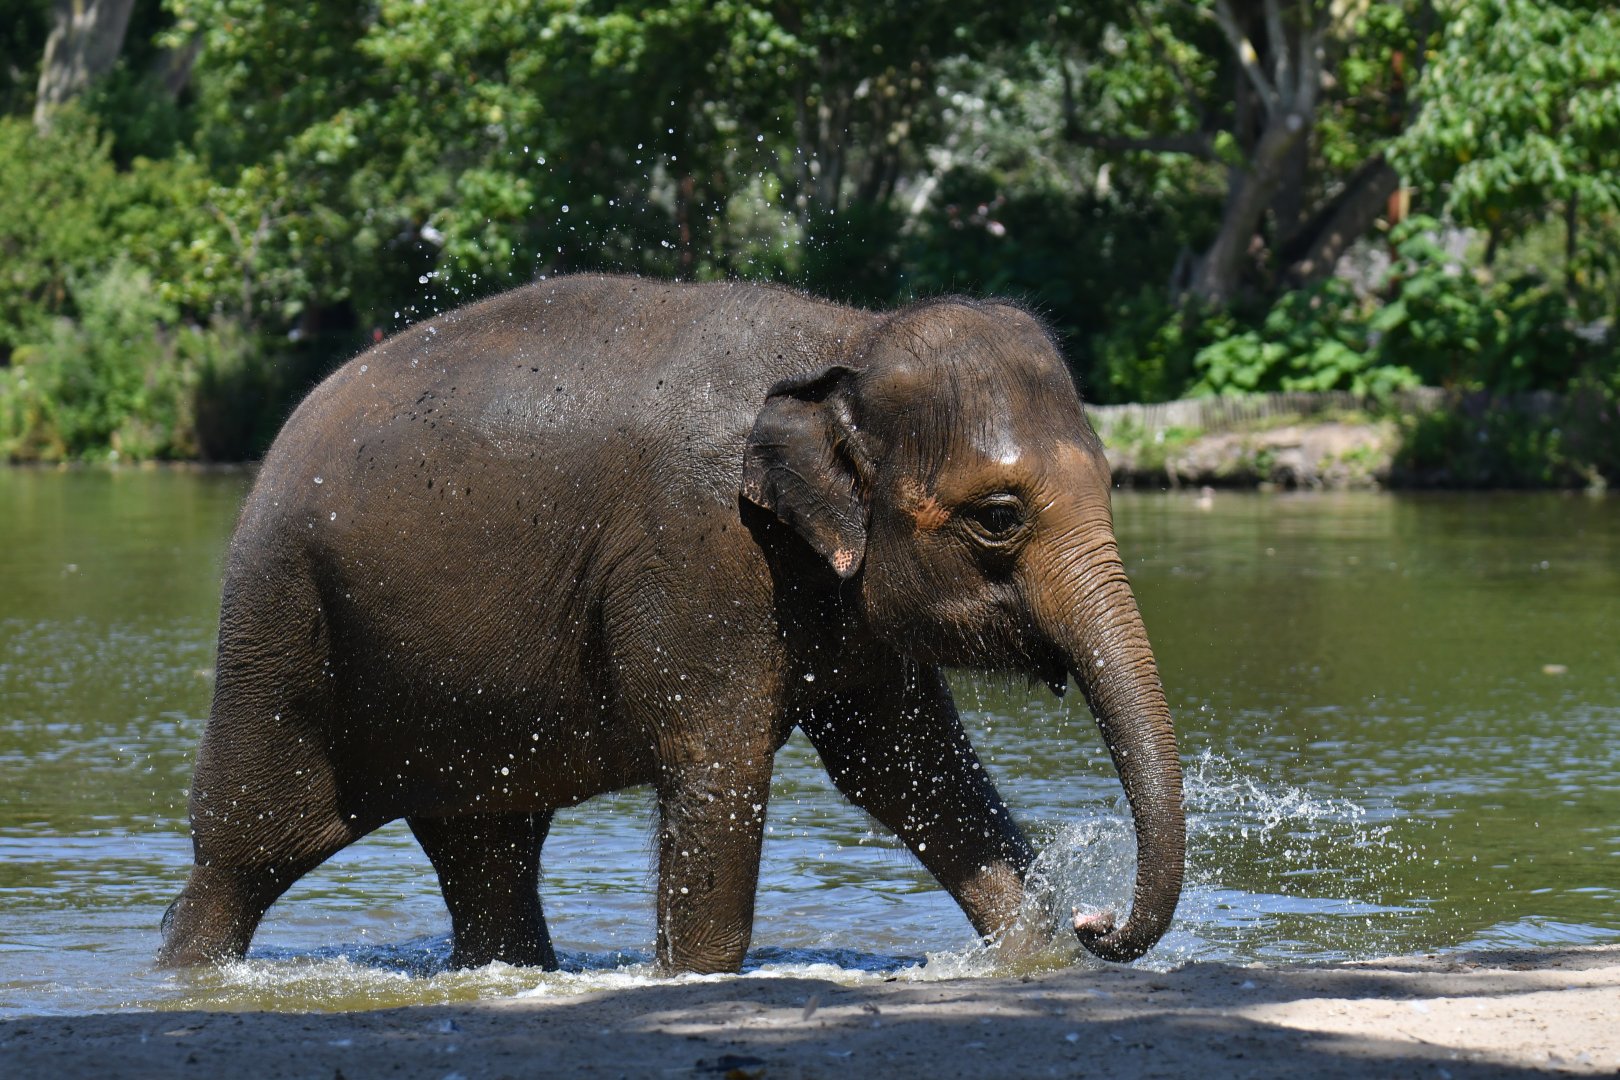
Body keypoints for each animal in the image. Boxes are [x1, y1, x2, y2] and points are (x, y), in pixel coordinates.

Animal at [157, 274, 1185, 974]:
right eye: (999, 517)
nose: (1098, 923)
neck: (848, 334)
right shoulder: (699, 552)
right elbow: (719, 764)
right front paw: (692, 979)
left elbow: (911, 768)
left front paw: (1033, 956)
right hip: (280, 626)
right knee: (247, 847)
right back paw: (188, 972)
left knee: (488, 851)